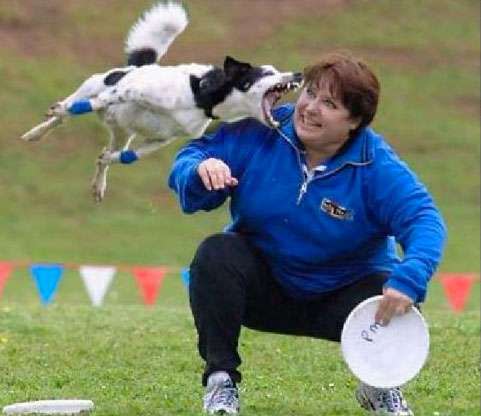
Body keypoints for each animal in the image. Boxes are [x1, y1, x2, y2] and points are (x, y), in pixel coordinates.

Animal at [22, 0, 302, 202]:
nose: (299, 74)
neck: (201, 95)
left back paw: (99, 183)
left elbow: (126, 157)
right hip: (93, 85)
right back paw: (38, 130)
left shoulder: (161, 139)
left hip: (122, 133)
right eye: (267, 74)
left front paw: (107, 162)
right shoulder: (131, 90)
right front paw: (61, 111)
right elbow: (94, 103)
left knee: (108, 149)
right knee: (67, 113)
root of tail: (138, 66)